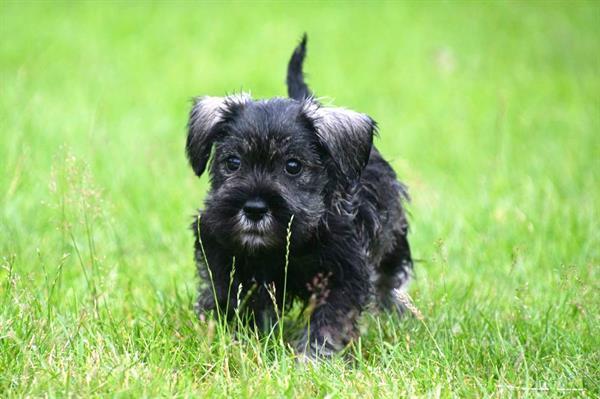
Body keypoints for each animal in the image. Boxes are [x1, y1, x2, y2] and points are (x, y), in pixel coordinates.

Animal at [188, 36, 412, 358]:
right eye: (233, 162)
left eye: (293, 166)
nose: (254, 209)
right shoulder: (222, 255)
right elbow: (229, 297)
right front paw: (232, 339)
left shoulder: (343, 274)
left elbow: (330, 320)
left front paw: (312, 358)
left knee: (389, 278)